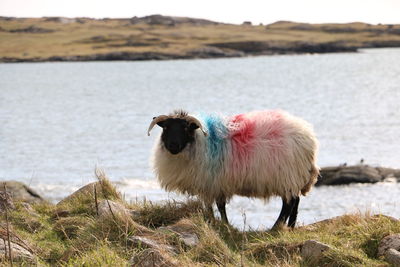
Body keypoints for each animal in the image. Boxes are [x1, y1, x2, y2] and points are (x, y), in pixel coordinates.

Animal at [147, 109, 318, 228]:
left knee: (289, 204)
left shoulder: (212, 183)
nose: (173, 145)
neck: (200, 143)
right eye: (166, 127)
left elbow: (217, 206)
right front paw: (219, 223)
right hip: (292, 177)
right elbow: (215, 206)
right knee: (295, 201)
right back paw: (290, 227)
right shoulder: (213, 184)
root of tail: (307, 137)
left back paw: (276, 227)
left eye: (185, 128)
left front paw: (220, 223)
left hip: (287, 176)